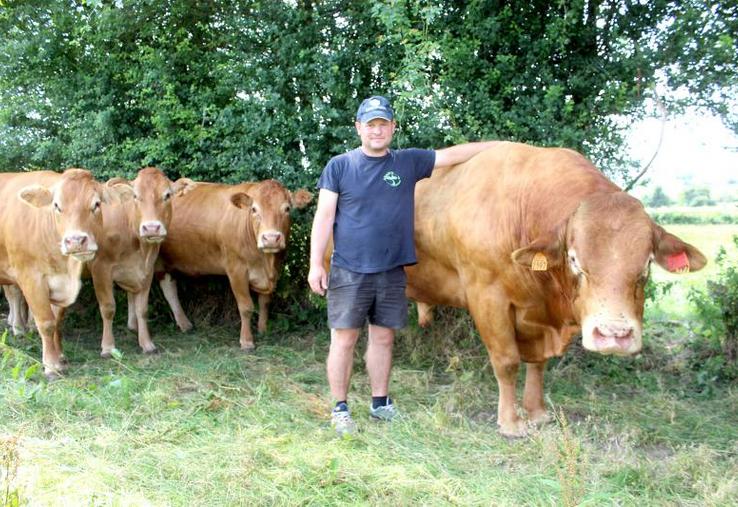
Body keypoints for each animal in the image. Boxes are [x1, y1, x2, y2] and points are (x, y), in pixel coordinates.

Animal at [0, 169, 129, 378]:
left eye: (96, 204)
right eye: (57, 206)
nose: (76, 241)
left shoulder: (60, 283)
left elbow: (57, 321)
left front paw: (60, 357)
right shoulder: (31, 279)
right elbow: (46, 323)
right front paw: (51, 366)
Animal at [85, 167, 194, 357]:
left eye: (167, 195)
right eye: (135, 196)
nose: (151, 228)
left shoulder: (146, 270)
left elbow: (142, 309)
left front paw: (147, 343)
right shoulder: (100, 269)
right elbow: (108, 308)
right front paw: (108, 347)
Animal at [152, 179, 313, 350]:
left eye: (287, 208)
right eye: (254, 209)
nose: (270, 238)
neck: (265, 262)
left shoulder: (274, 270)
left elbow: (264, 302)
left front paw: (263, 329)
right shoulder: (236, 270)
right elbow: (246, 306)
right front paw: (246, 340)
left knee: (169, 288)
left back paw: (185, 324)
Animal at [405, 142, 707, 437]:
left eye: (647, 264)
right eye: (574, 260)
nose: (614, 335)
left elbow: (538, 364)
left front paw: (536, 413)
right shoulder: (488, 296)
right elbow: (507, 361)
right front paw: (510, 423)